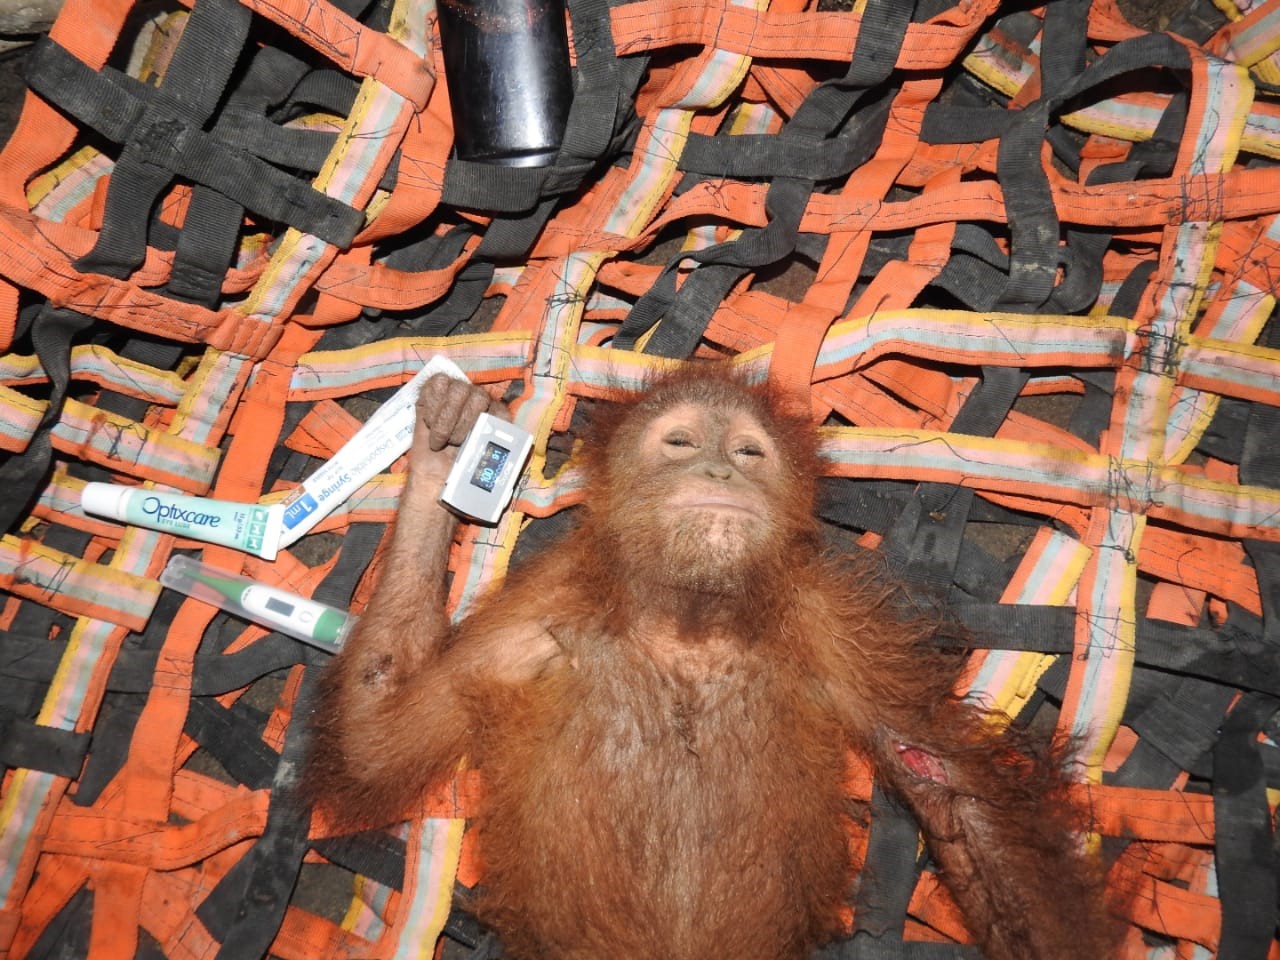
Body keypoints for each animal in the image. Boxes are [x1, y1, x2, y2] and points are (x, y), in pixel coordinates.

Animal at [303, 364, 1119, 960]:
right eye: (681, 444)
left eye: (749, 451)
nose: (723, 474)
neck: (687, 620)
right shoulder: (528, 621)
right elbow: (379, 746)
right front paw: (439, 451)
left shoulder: (832, 629)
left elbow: (938, 778)